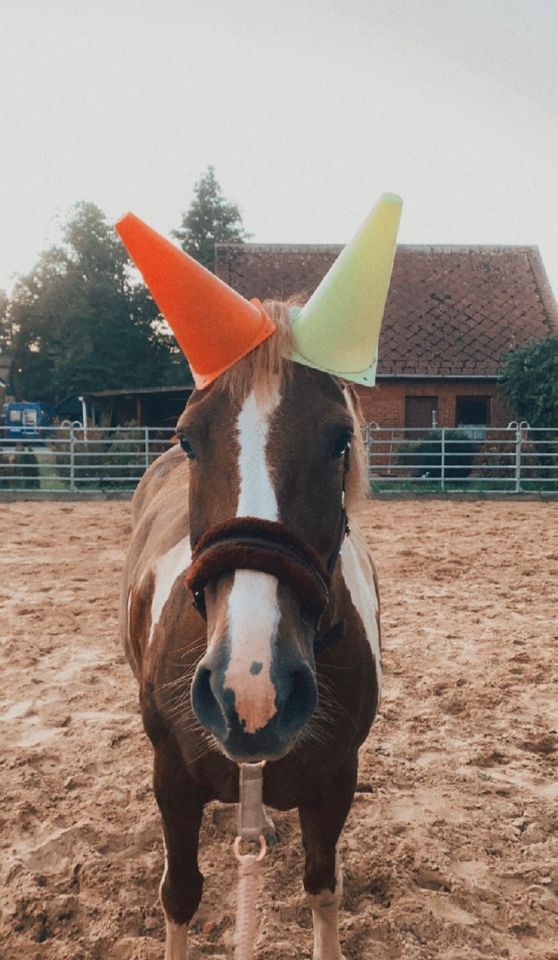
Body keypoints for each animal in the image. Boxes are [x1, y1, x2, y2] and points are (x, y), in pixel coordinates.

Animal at [121, 304, 382, 956]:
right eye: (189, 437)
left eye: (340, 439)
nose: (251, 690)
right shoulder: (171, 777)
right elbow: (180, 893)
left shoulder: (336, 779)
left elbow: (323, 885)